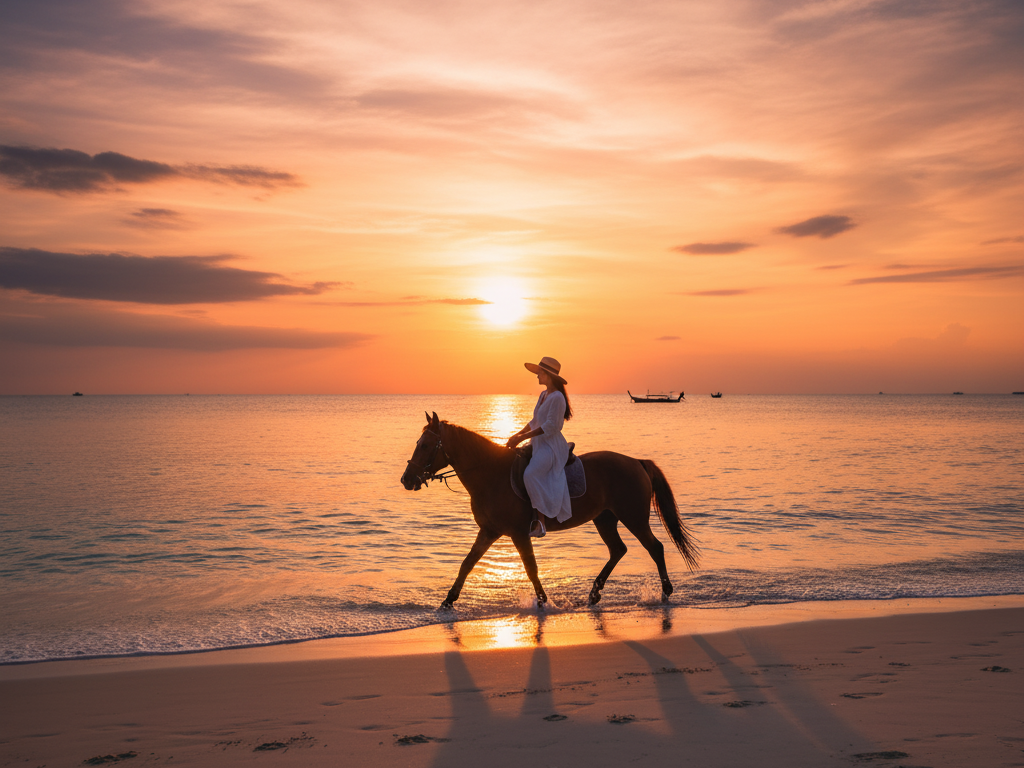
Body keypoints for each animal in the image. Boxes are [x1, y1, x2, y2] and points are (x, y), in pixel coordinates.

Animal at [401, 411, 699, 609]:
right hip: (605, 519)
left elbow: (530, 568)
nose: (407, 479)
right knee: (618, 550)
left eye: (425, 445)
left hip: (633, 517)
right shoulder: (489, 531)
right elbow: (467, 563)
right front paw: (448, 600)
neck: (491, 474)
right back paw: (594, 594)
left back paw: (665, 592)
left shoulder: (518, 533)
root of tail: (637, 461)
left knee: (655, 547)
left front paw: (543, 601)